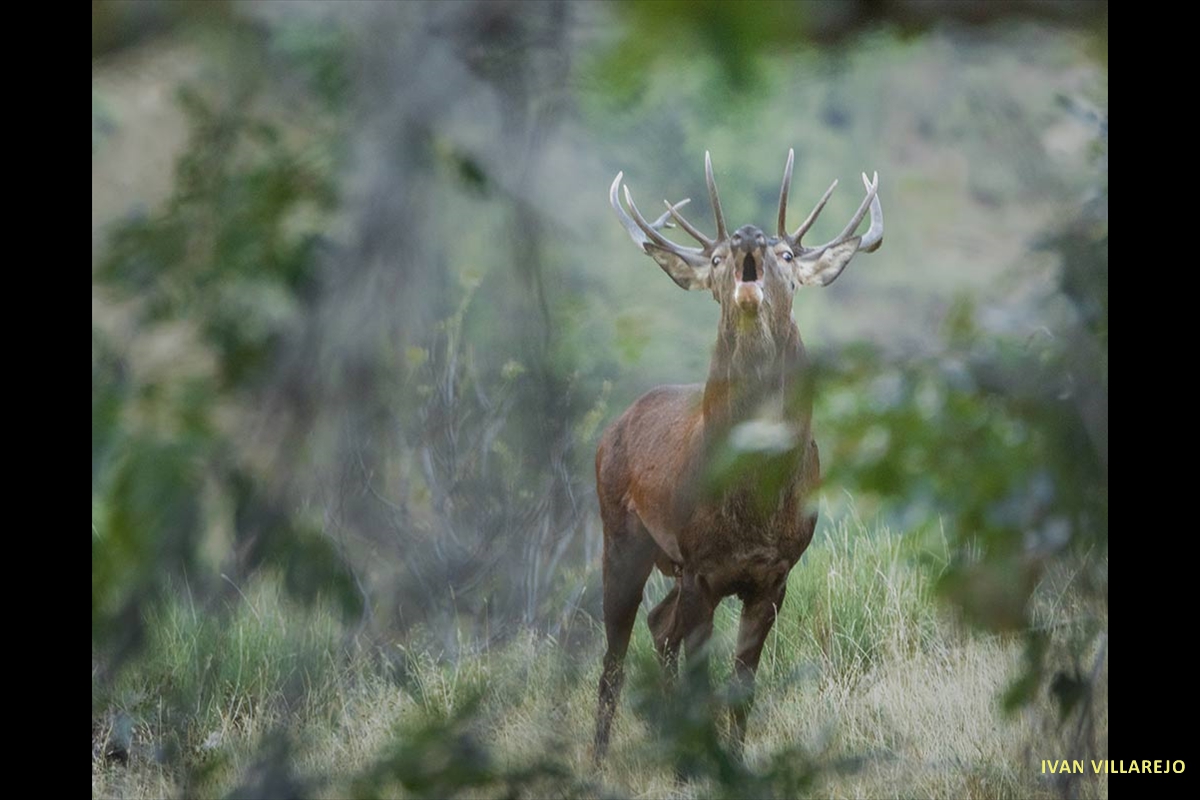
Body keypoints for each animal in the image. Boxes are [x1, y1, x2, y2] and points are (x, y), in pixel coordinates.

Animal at [593, 150, 882, 761]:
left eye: (788, 254)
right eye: (717, 257)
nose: (749, 234)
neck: (754, 506)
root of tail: (611, 430)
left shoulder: (775, 574)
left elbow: (742, 686)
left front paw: (732, 757)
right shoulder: (701, 566)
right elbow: (703, 680)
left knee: (659, 626)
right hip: (621, 537)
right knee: (614, 656)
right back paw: (600, 756)